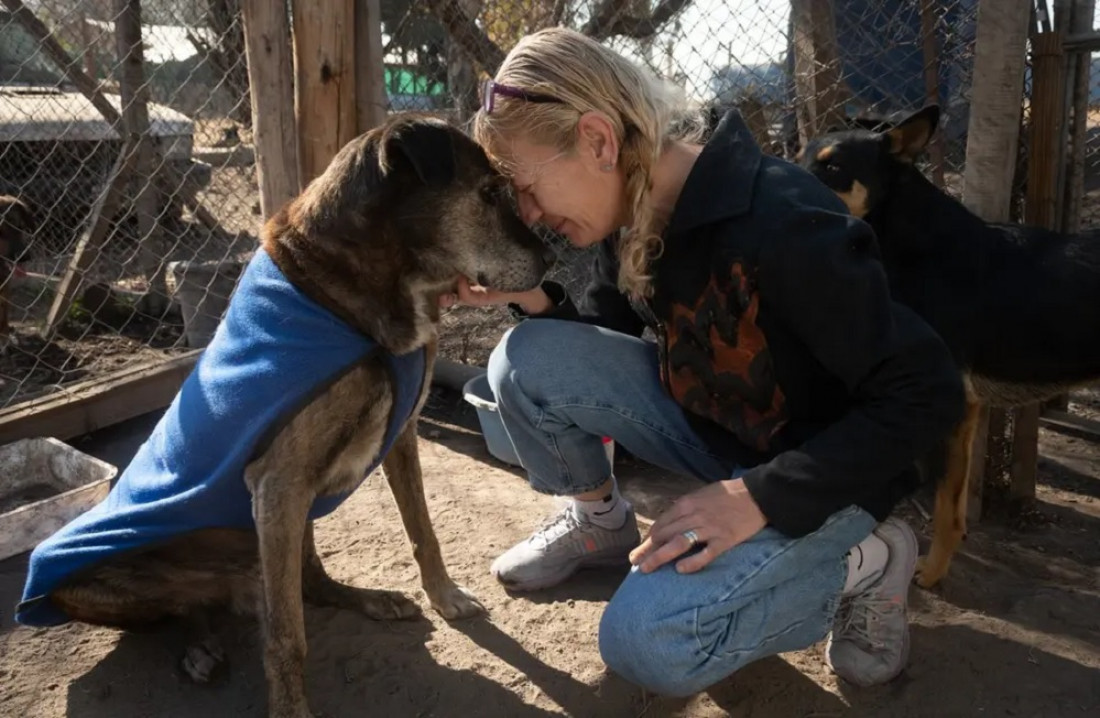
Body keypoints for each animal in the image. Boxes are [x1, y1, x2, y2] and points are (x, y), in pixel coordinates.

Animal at [13, 114, 554, 712]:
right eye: (488, 193)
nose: (552, 262)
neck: (353, 298)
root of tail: (230, 584)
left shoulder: (397, 439)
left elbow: (423, 531)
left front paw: (446, 596)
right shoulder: (278, 483)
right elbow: (285, 636)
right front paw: (291, 709)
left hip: (293, 521)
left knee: (306, 583)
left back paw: (367, 599)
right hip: (94, 575)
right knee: (189, 606)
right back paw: (200, 645)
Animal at [800, 106, 1100, 589]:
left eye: (833, 168)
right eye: (800, 156)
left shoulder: (946, 405)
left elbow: (942, 504)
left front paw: (927, 577)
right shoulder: (968, 409)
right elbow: (954, 508)